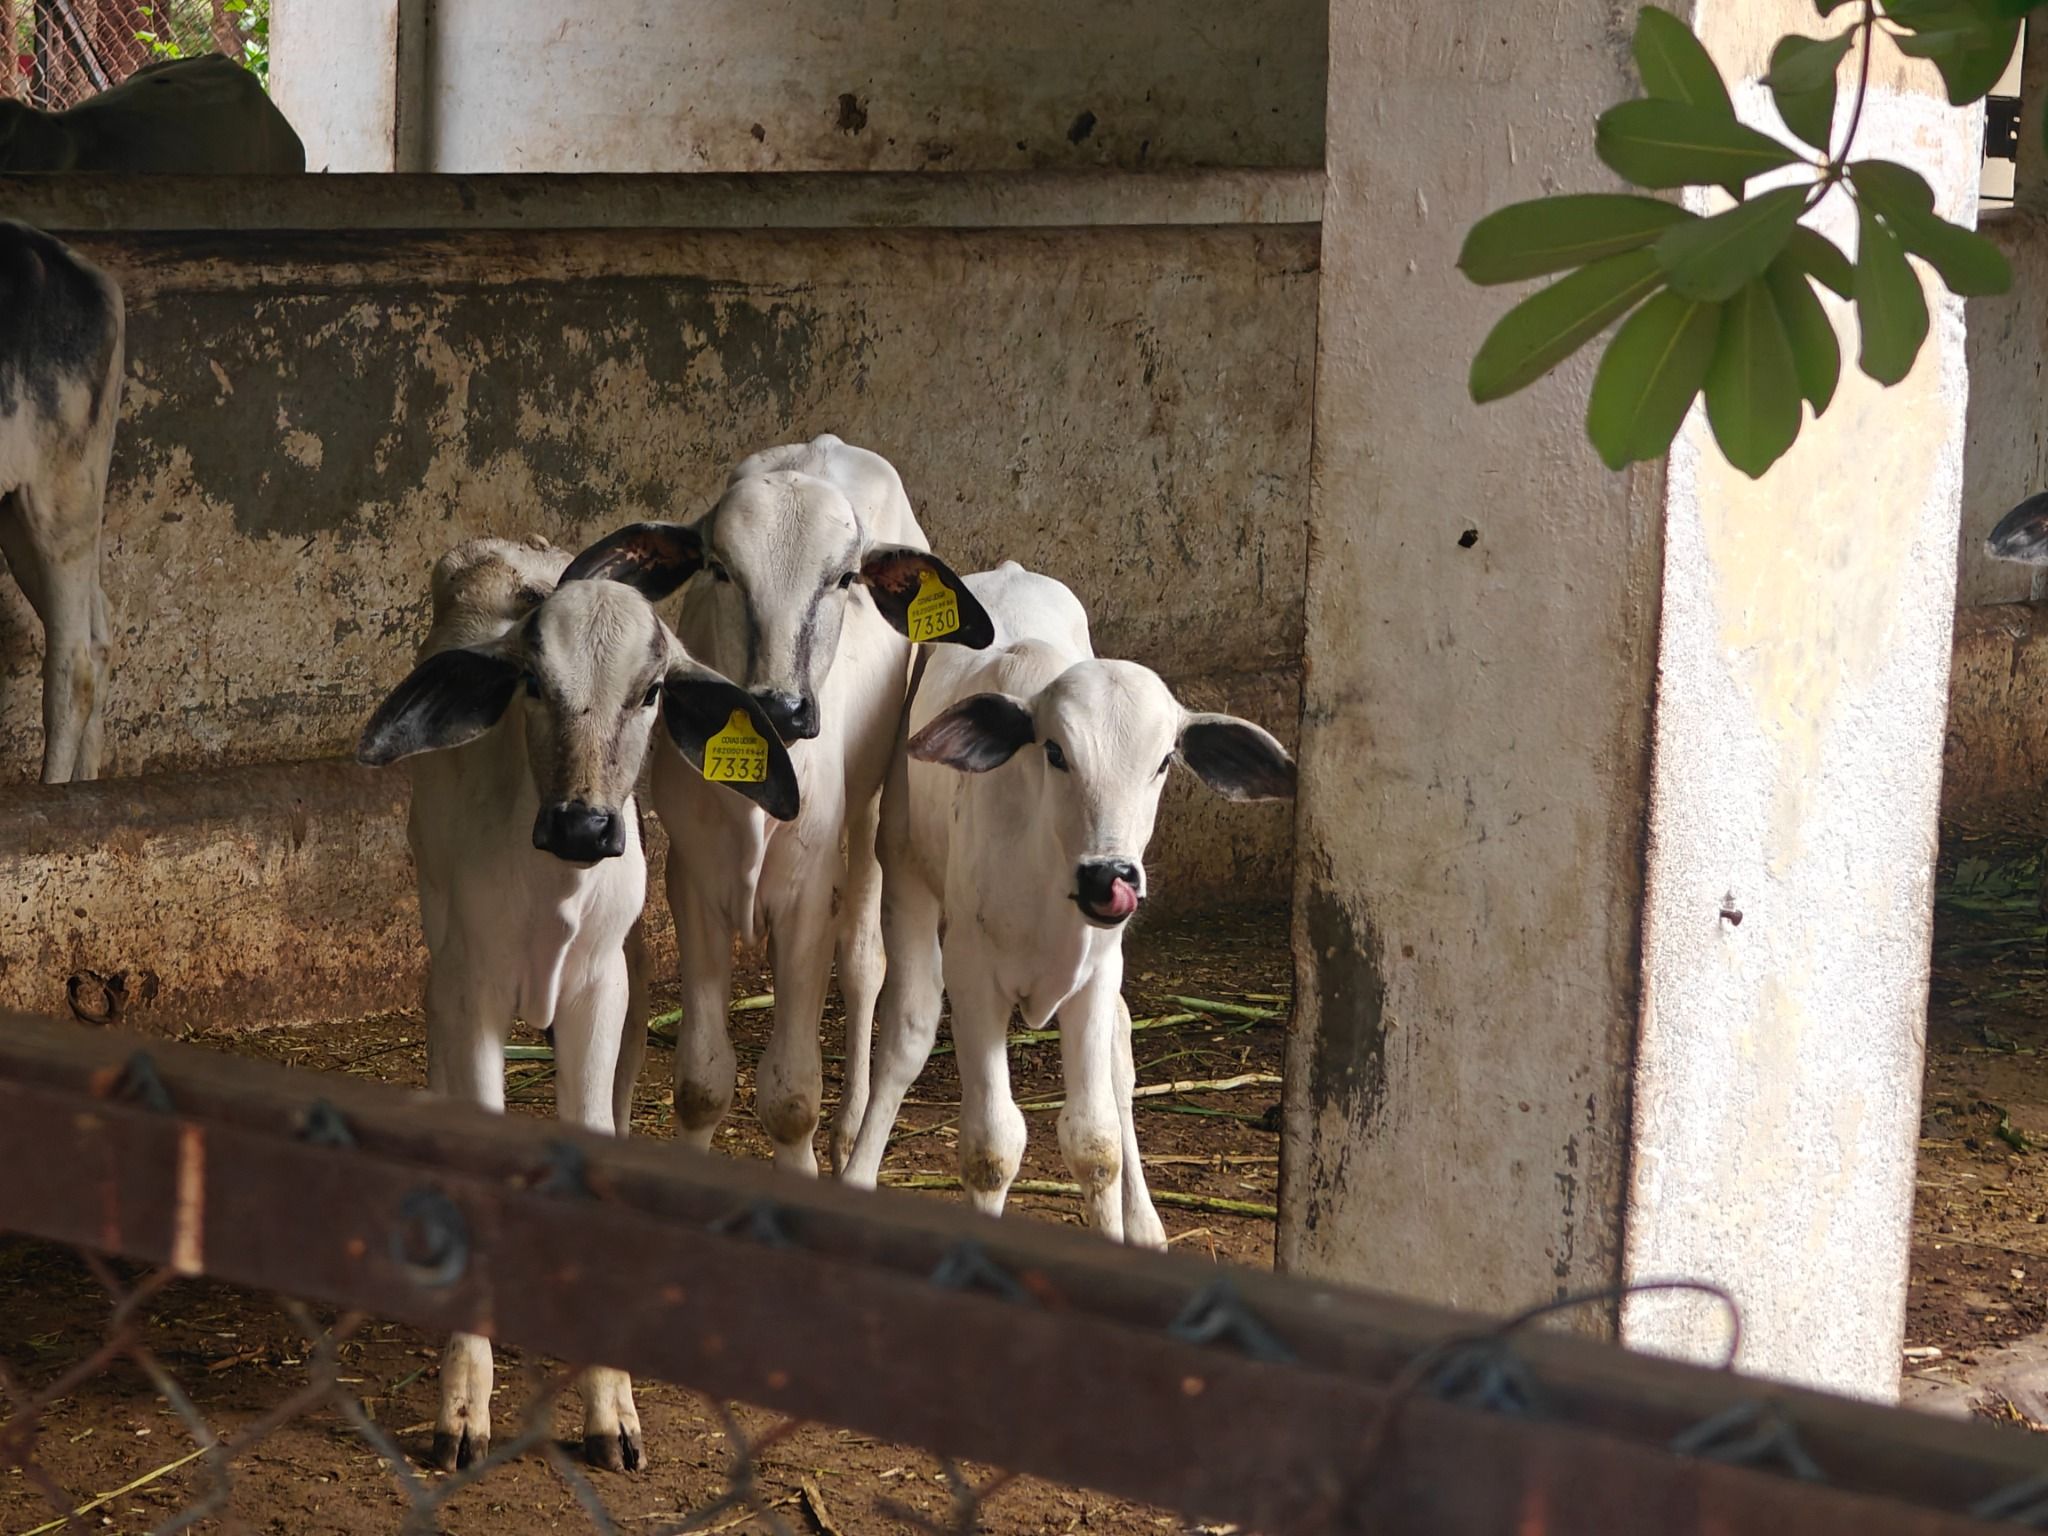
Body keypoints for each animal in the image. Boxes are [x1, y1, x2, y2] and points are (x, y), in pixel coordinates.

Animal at [356, 534, 798, 1473]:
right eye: (532, 680)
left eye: (653, 689)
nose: (584, 827)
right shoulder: (470, 986)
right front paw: (462, 1406)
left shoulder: (602, 988)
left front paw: (611, 1406)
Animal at [559, 435, 992, 1175]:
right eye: (720, 569)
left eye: (844, 578)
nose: (783, 706)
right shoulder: (692, 884)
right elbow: (702, 1083)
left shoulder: (808, 896)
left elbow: (791, 1097)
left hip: (873, 806)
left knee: (864, 961)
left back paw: (849, 1128)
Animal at [838, 562, 1295, 1246]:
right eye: (1055, 751)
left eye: (1165, 761)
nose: (1109, 877)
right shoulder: (974, 977)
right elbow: (992, 1147)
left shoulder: (1097, 976)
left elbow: (1094, 1141)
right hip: (905, 867)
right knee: (906, 1035)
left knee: (1121, 1054)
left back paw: (1147, 1222)